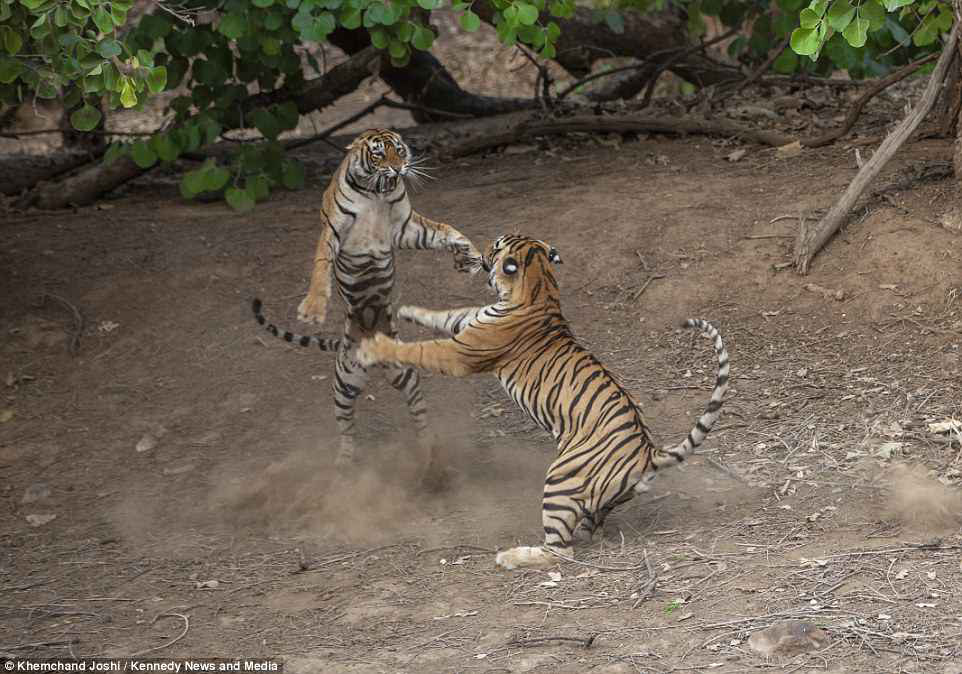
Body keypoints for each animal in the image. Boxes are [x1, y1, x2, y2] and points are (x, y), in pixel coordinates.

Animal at [251, 130, 480, 478]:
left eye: (399, 151)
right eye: (378, 155)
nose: (399, 169)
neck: (376, 192)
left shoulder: (407, 227)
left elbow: (443, 229)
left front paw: (469, 256)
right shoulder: (333, 231)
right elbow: (320, 267)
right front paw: (312, 309)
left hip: (406, 375)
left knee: (420, 417)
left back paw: (430, 455)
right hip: (343, 387)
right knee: (347, 430)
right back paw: (344, 464)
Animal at [354, 234, 728, 564]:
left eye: (496, 245)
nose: (481, 252)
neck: (540, 285)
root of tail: (649, 454)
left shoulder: (460, 353)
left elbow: (420, 349)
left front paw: (374, 347)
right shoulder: (470, 321)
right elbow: (446, 314)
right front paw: (407, 309)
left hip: (560, 480)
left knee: (560, 552)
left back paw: (508, 557)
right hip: (598, 497)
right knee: (586, 530)